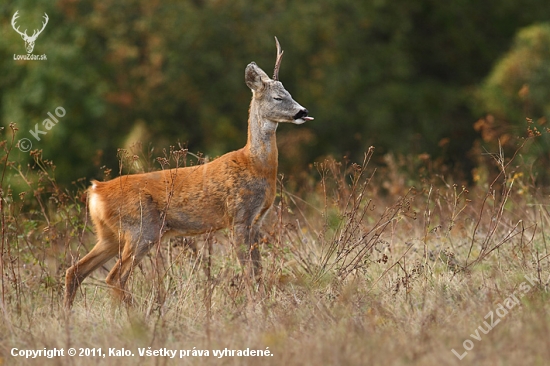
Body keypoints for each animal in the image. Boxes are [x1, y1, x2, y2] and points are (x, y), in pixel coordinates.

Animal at [63, 38, 314, 308]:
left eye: (290, 94)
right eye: (278, 97)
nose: (302, 111)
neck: (255, 164)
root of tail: (96, 191)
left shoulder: (256, 221)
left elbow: (258, 270)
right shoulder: (238, 216)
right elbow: (247, 270)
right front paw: (254, 305)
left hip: (110, 235)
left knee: (75, 271)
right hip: (141, 229)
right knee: (115, 277)